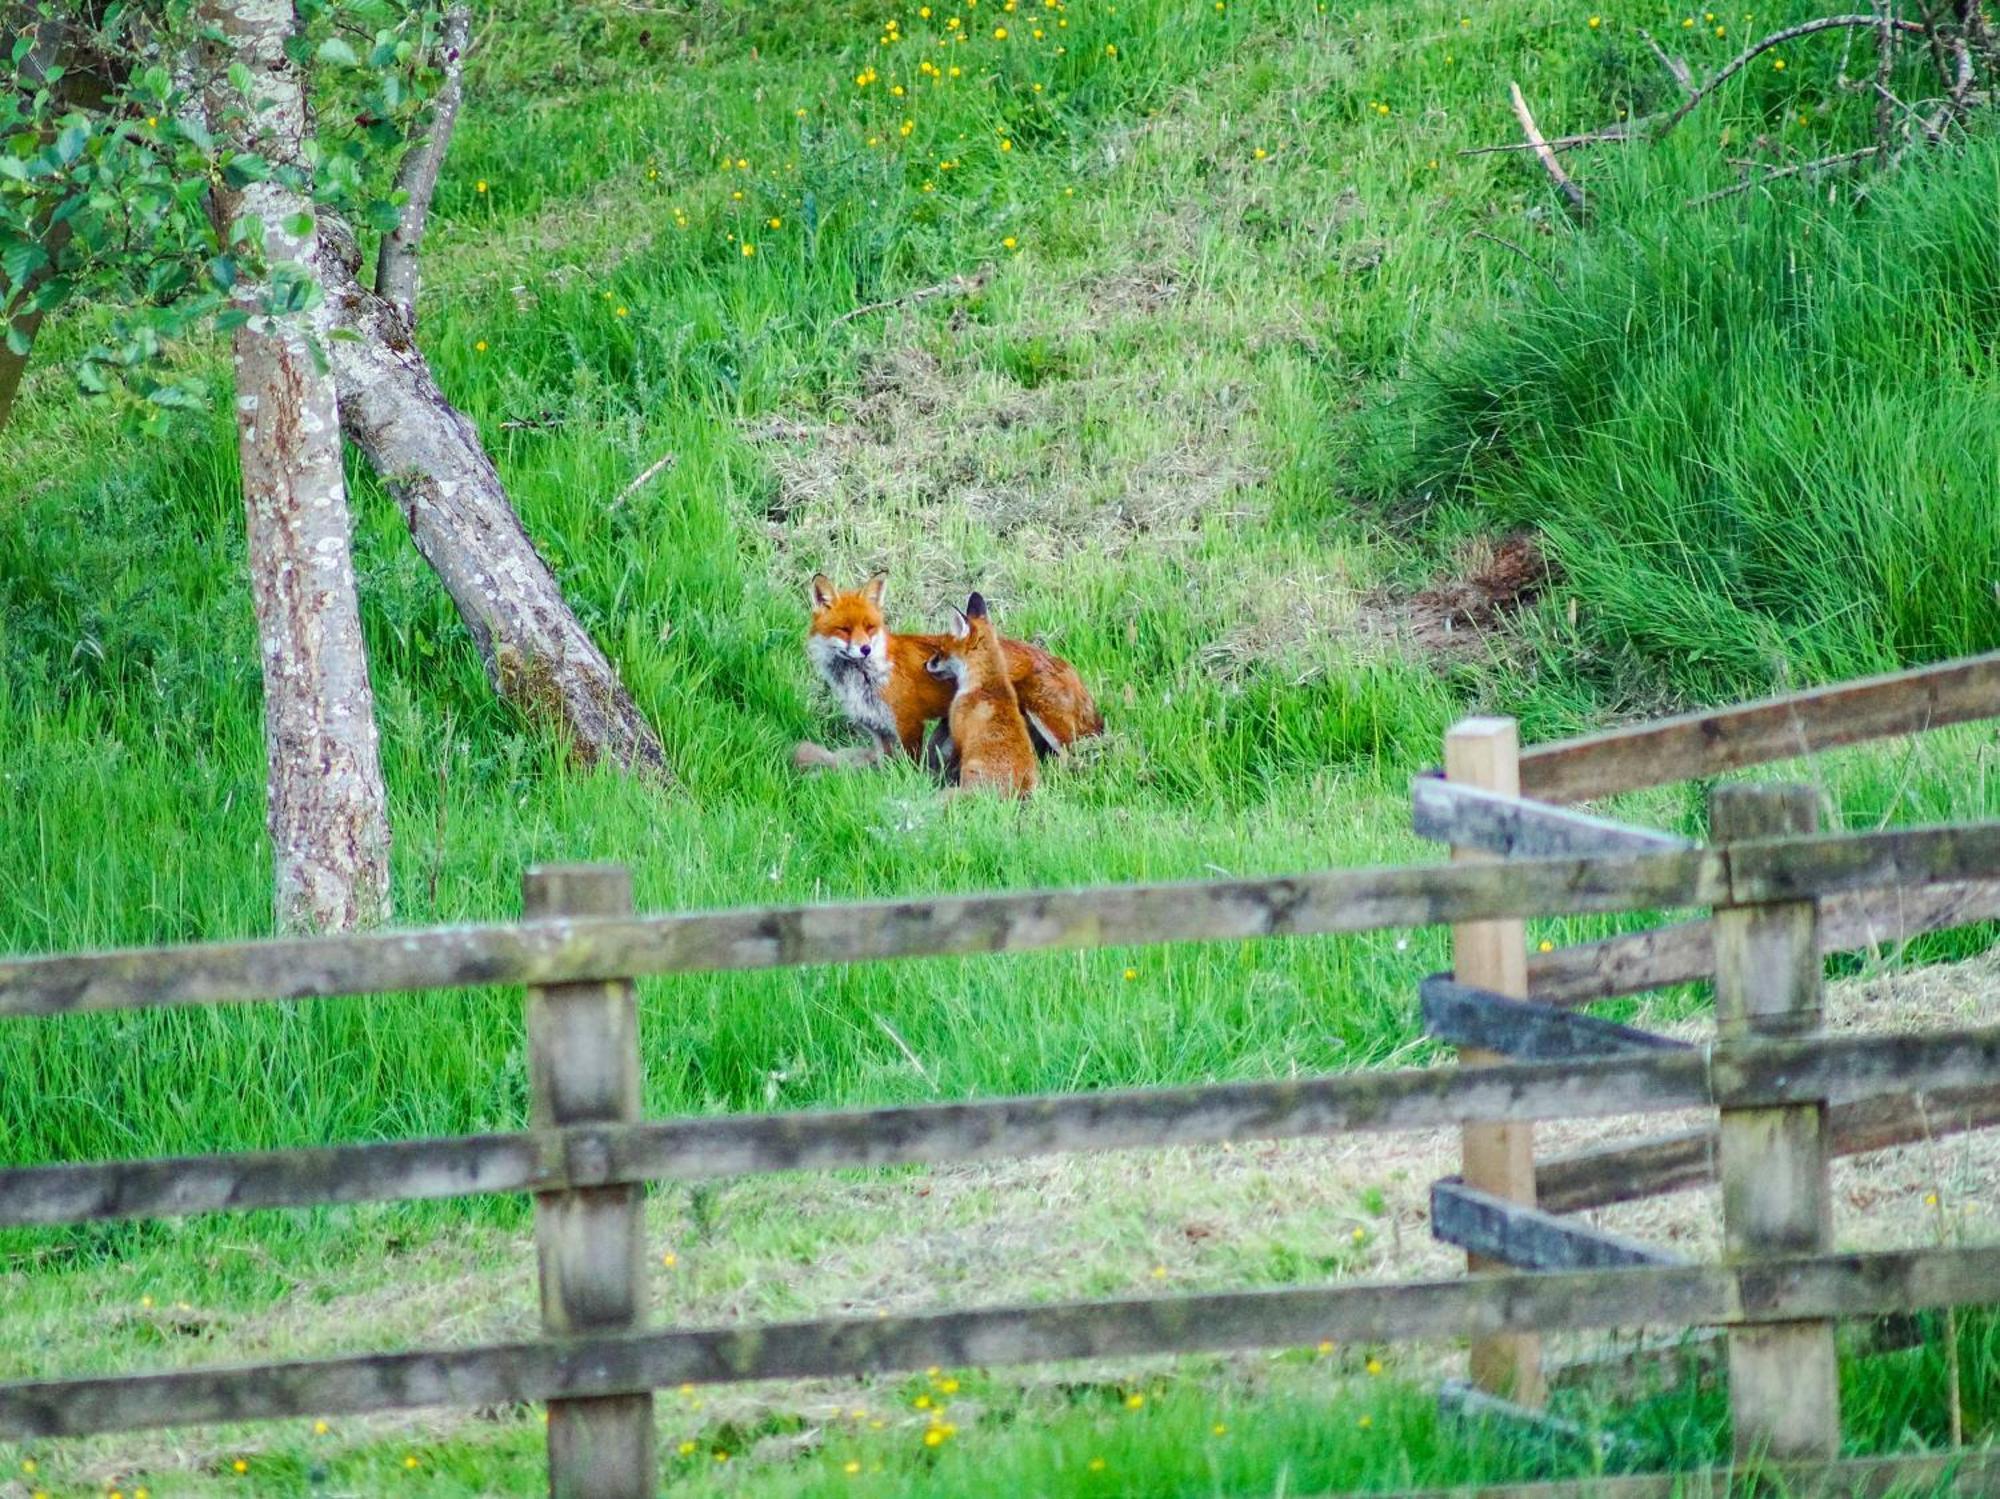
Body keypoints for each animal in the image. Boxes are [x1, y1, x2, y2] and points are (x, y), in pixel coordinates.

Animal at [796, 575, 1112, 775]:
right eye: (844, 629)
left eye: (870, 627)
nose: (864, 649)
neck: (866, 679)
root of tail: (1068, 668)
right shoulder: (878, 731)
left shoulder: (909, 724)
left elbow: (910, 769)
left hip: (1050, 722)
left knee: (1076, 757)